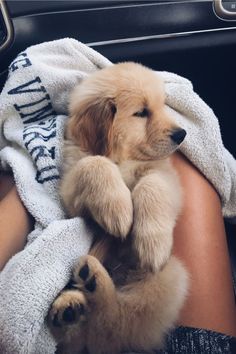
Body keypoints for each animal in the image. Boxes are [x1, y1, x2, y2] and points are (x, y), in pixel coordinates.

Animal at [47, 62, 188, 352]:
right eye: (141, 112)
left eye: (162, 105)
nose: (182, 134)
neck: (124, 159)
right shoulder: (71, 196)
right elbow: (95, 163)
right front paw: (118, 209)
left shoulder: (166, 176)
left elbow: (151, 186)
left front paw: (153, 242)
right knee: (103, 331)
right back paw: (75, 300)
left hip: (168, 279)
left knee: (113, 327)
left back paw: (86, 290)